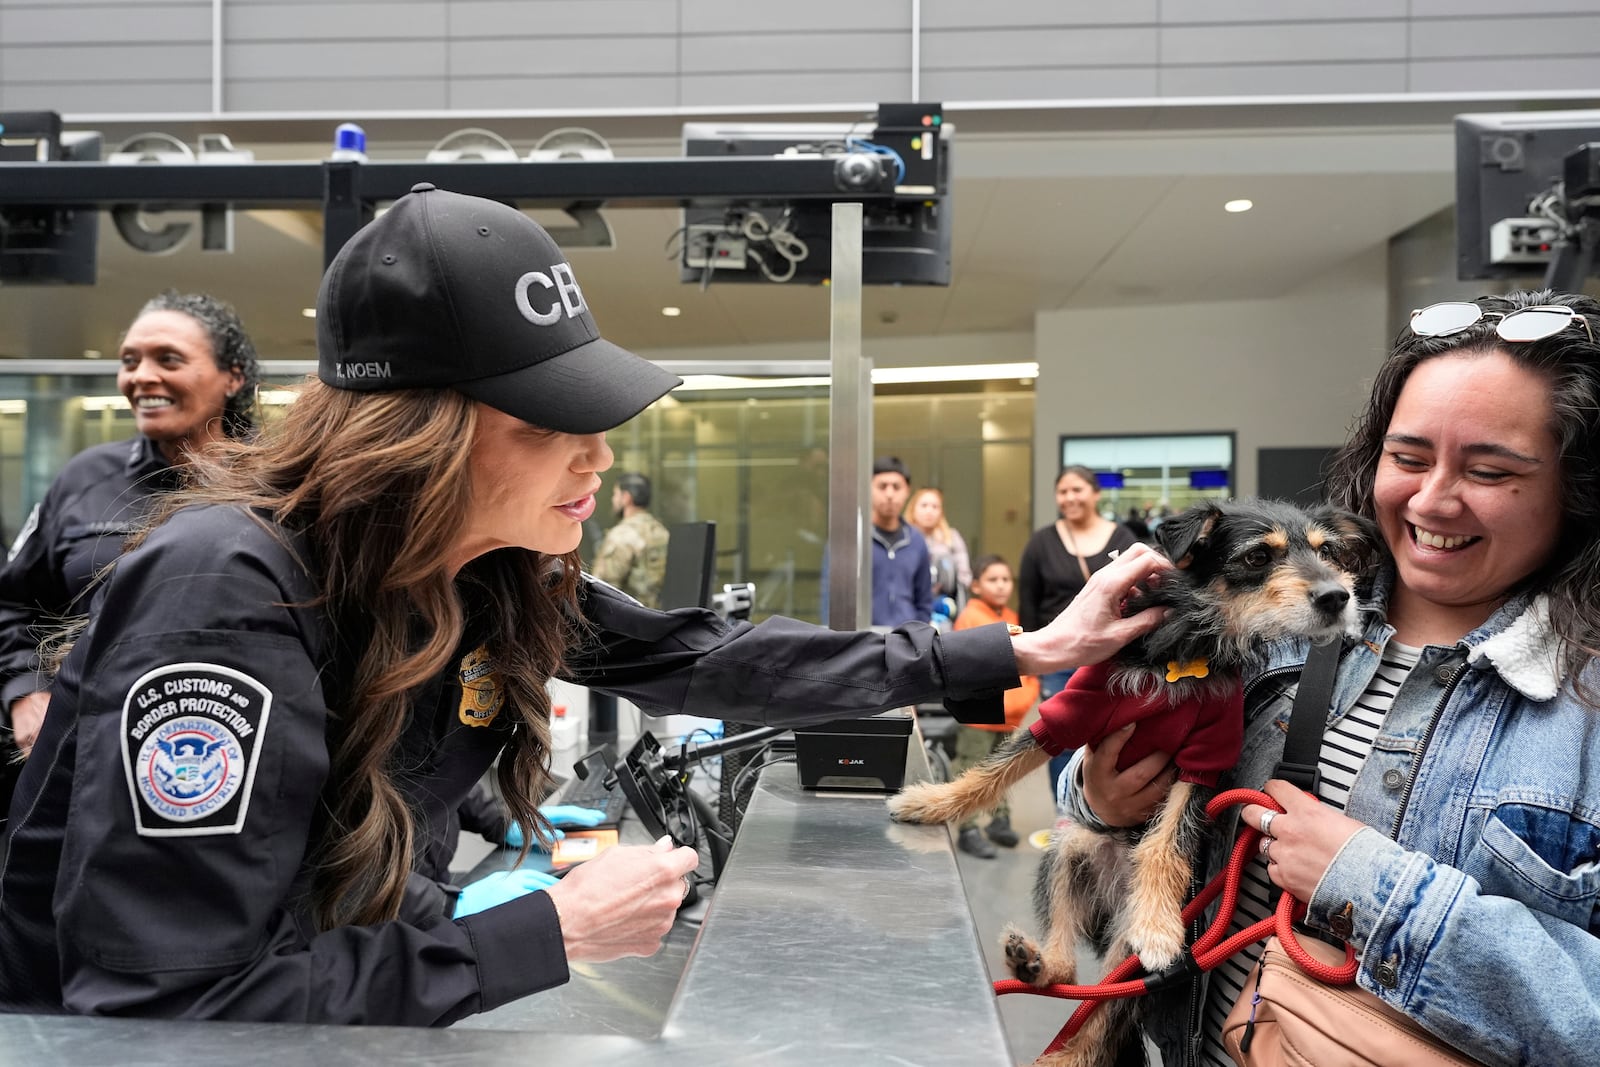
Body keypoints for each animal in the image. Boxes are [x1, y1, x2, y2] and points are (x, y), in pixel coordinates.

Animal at [889, 502, 1376, 1067]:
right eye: (1257, 557)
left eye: (1327, 552)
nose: (1337, 597)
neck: (1191, 645)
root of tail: (1110, 906)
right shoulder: (1073, 710)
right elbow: (997, 769)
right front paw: (933, 802)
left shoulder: (1205, 756)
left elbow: (1169, 837)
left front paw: (1160, 925)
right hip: (1067, 852)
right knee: (1067, 971)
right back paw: (1033, 963)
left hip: (1135, 958)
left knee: (1104, 1011)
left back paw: (1063, 1051)